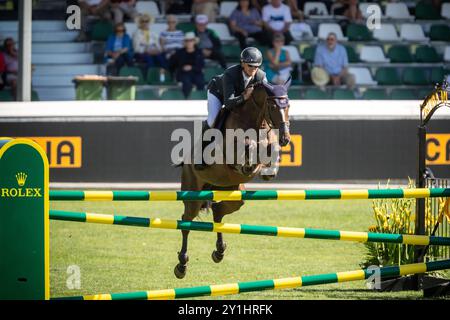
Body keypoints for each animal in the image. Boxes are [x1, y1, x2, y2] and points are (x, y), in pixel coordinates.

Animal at [174, 79, 290, 278]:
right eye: (273, 106)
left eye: (288, 105)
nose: (286, 138)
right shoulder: (231, 152)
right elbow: (249, 146)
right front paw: (250, 163)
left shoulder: (269, 141)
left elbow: (271, 148)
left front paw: (269, 172)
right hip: (193, 194)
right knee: (186, 221)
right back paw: (182, 265)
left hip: (233, 192)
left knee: (217, 211)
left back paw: (219, 252)